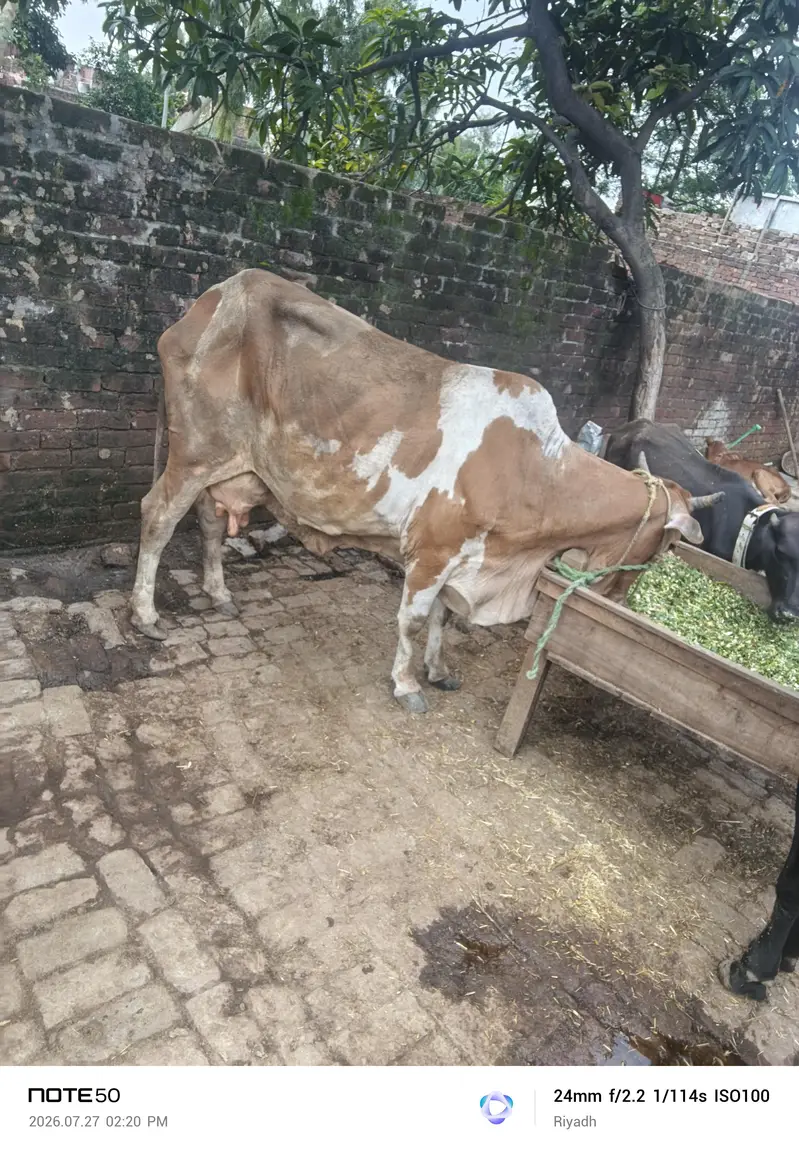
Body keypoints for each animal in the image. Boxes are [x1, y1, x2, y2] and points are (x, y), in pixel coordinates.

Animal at [131, 269, 709, 714]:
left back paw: (219, 593)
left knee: (209, 521)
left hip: (230, 468)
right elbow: (412, 619)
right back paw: (146, 615)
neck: (534, 470)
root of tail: (210, 299)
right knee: (157, 518)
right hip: (194, 453)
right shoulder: (433, 550)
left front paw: (438, 668)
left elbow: (443, 617)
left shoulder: (463, 556)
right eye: (664, 547)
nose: (619, 601)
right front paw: (407, 684)